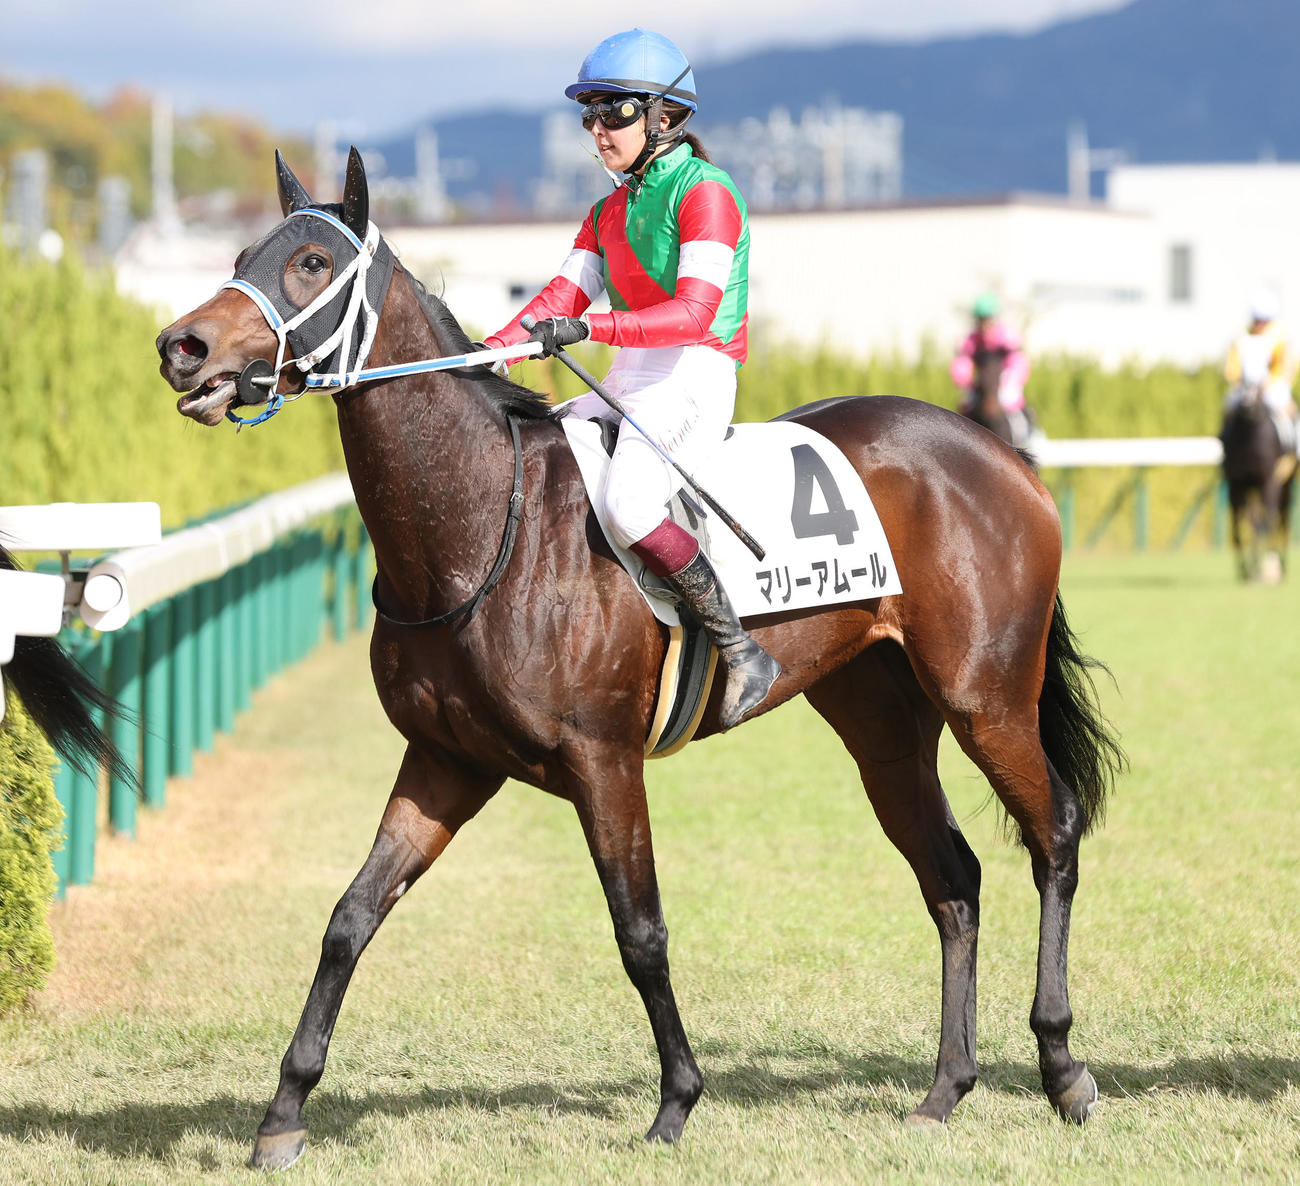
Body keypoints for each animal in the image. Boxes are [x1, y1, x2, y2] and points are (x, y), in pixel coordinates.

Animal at [155, 149, 1125, 1170]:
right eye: (240, 255)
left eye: (309, 262)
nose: (181, 346)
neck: (479, 527)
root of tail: (995, 453)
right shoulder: (446, 760)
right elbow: (350, 919)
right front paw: (283, 1112)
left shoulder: (603, 760)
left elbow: (640, 930)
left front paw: (676, 1101)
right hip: (883, 727)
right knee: (953, 877)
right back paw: (945, 1088)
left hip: (987, 697)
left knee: (1055, 834)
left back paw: (1064, 1067)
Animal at [1220, 382, 1296, 583]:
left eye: (1260, 388)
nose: (1247, 406)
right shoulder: (1237, 483)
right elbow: (1241, 527)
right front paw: (1246, 570)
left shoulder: (1268, 481)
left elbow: (1265, 521)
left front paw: (1263, 568)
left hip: (1284, 485)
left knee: (1280, 518)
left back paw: (1280, 565)